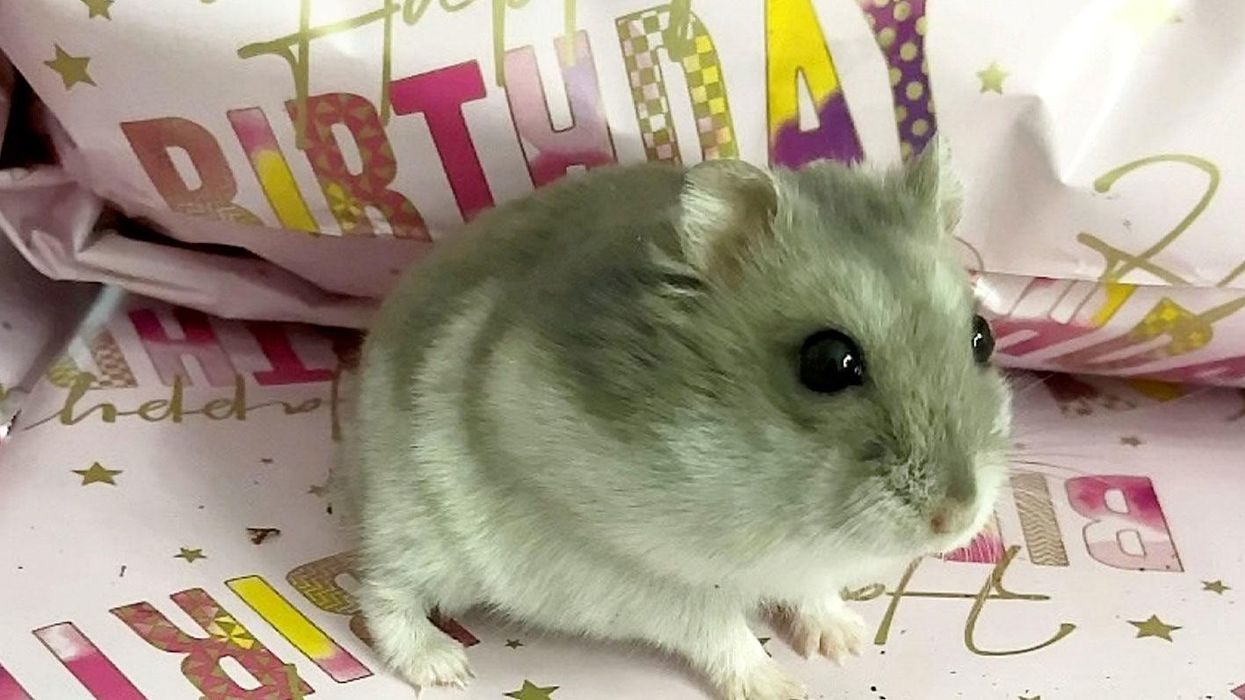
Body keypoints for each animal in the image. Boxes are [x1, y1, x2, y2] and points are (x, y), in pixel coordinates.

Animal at [338, 141, 1011, 700]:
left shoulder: (806, 569)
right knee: (380, 590)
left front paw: (845, 645)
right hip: (419, 525)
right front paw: (783, 690)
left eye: (983, 337)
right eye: (828, 362)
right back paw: (446, 667)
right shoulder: (643, 574)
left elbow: (812, 596)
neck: (790, 519)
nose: (956, 518)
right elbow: (722, 634)